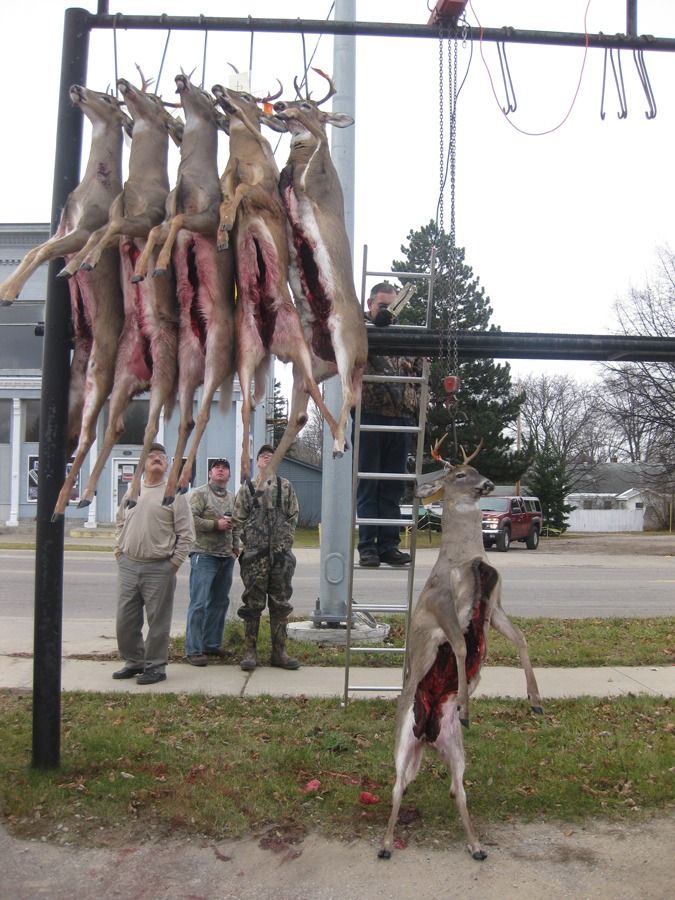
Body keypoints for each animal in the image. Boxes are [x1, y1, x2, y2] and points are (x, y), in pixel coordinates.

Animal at [56, 74, 184, 515]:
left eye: (109, 99)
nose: (77, 88)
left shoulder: (136, 223)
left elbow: (106, 233)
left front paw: (82, 263)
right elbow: (95, 233)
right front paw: (77, 263)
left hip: (151, 370)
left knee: (140, 427)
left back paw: (123, 494)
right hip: (111, 377)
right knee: (103, 430)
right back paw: (76, 497)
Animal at [211, 79, 340, 481]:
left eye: (248, 97)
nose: (217, 88)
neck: (244, 157)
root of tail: (271, 340)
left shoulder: (263, 196)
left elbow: (239, 193)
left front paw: (225, 227)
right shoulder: (229, 183)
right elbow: (226, 196)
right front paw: (222, 232)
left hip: (298, 349)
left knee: (310, 398)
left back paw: (339, 438)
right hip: (248, 355)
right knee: (249, 408)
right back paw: (246, 473)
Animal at [378, 439, 543, 861]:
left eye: (480, 468)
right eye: (459, 474)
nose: (488, 484)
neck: (466, 557)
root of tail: (428, 734)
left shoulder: (494, 607)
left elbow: (521, 640)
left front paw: (535, 701)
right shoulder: (443, 609)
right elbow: (459, 649)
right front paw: (468, 707)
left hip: (455, 750)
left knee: (456, 789)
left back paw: (477, 846)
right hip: (403, 740)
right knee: (398, 785)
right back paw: (385, 844)